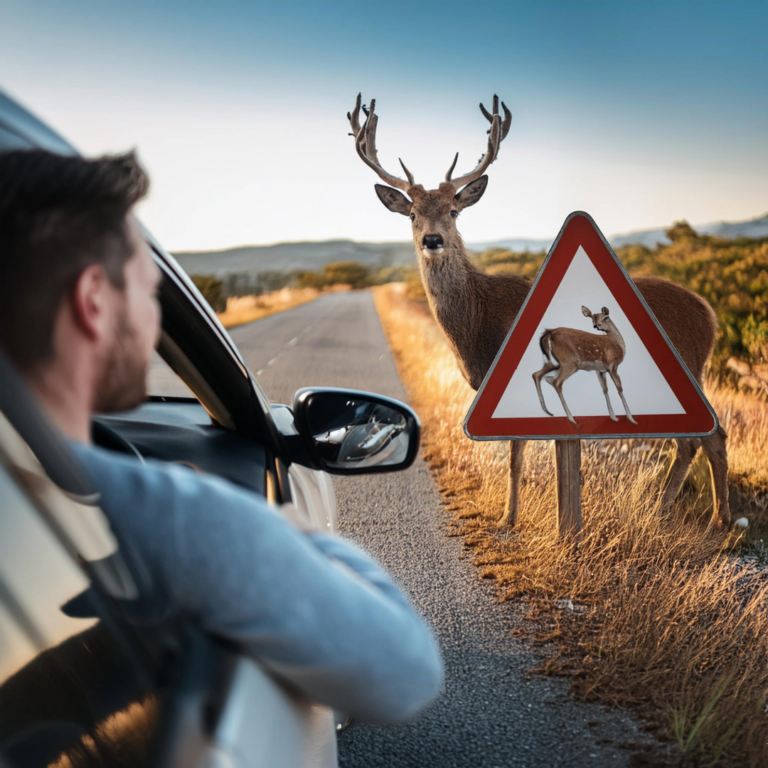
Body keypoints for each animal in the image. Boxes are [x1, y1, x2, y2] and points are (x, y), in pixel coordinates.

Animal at [348, 93, 732, 532]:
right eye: (412, 214)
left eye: (453, 211)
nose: (432, 239)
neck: (475, 328)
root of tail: (710, 314)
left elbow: (515, 457)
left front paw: (507, 519)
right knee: (695, 441)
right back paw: (673, 512)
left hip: (692, 367)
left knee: (709, 437)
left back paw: (713, 520)